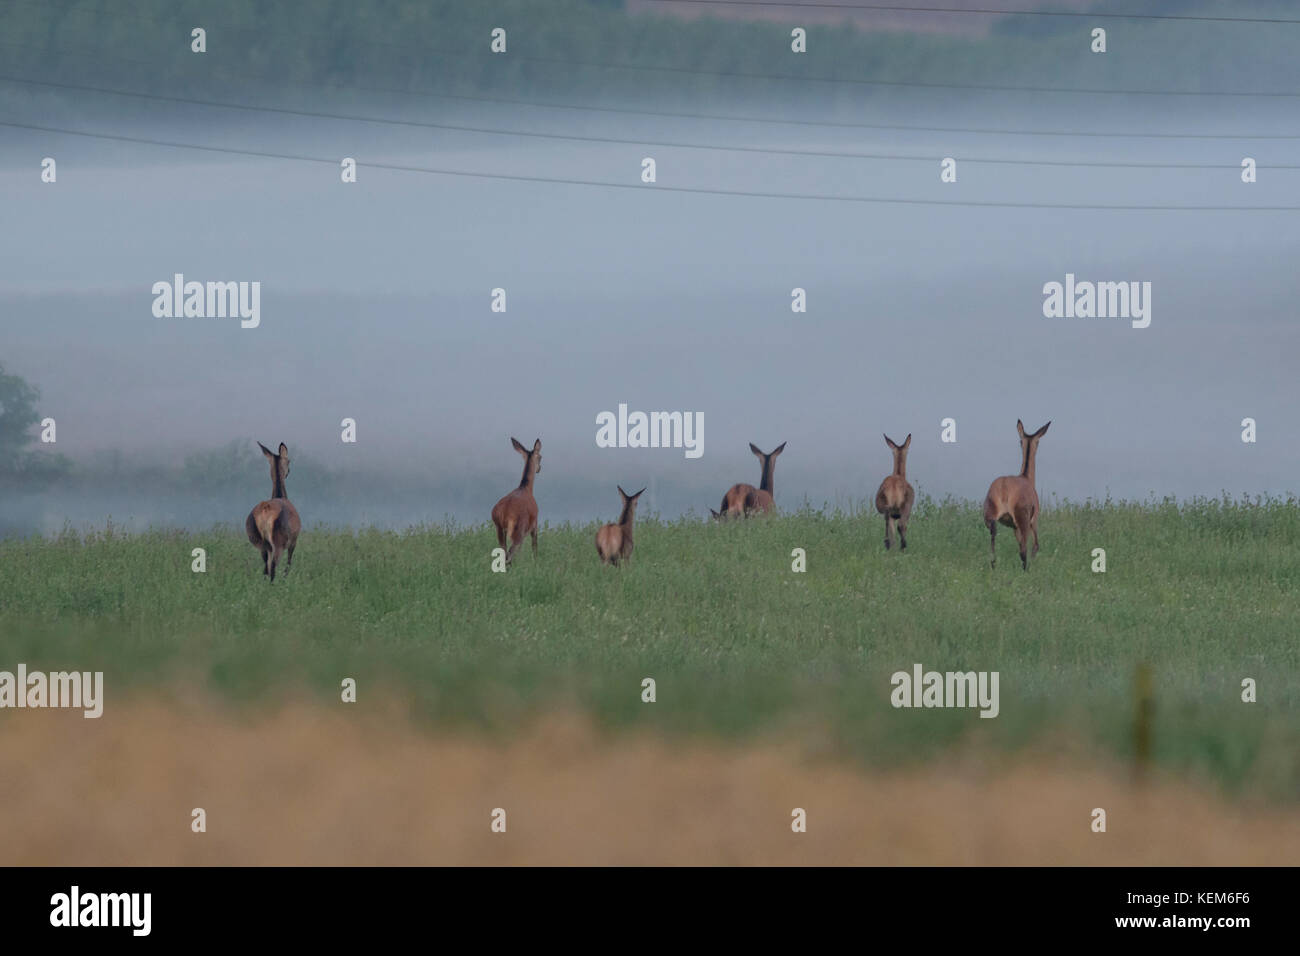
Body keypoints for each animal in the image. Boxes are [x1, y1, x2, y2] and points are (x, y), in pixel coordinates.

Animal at [244, 442, 299, 582]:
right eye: (289, 461)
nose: (289, 471)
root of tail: (265, 510)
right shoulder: (294, 540)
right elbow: (289, 562)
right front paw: (285, 578)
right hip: (279, 540)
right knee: (273, 565)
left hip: (259, 539)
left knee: (266, 565)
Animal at [982, 418, 1045, 567]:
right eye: (1038, 442)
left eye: (1020, 441)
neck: (1026, 478)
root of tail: (1004, 486)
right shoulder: (1033, 520)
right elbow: (1036, 545)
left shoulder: (1014, 527)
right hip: (1023, 520)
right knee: (1024, 550)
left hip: (989, 515)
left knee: (993, 533)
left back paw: (993, 563)